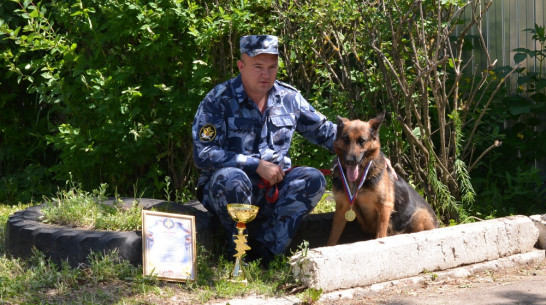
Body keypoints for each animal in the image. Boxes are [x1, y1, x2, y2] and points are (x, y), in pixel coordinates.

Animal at [326, 110, 436, 246]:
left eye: (361, 141)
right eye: (346, 139)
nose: (350, 161)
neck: (359, 180)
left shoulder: (384, 207)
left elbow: (380, 235)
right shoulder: (342, 208)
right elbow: (332, 238)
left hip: (419, 216)